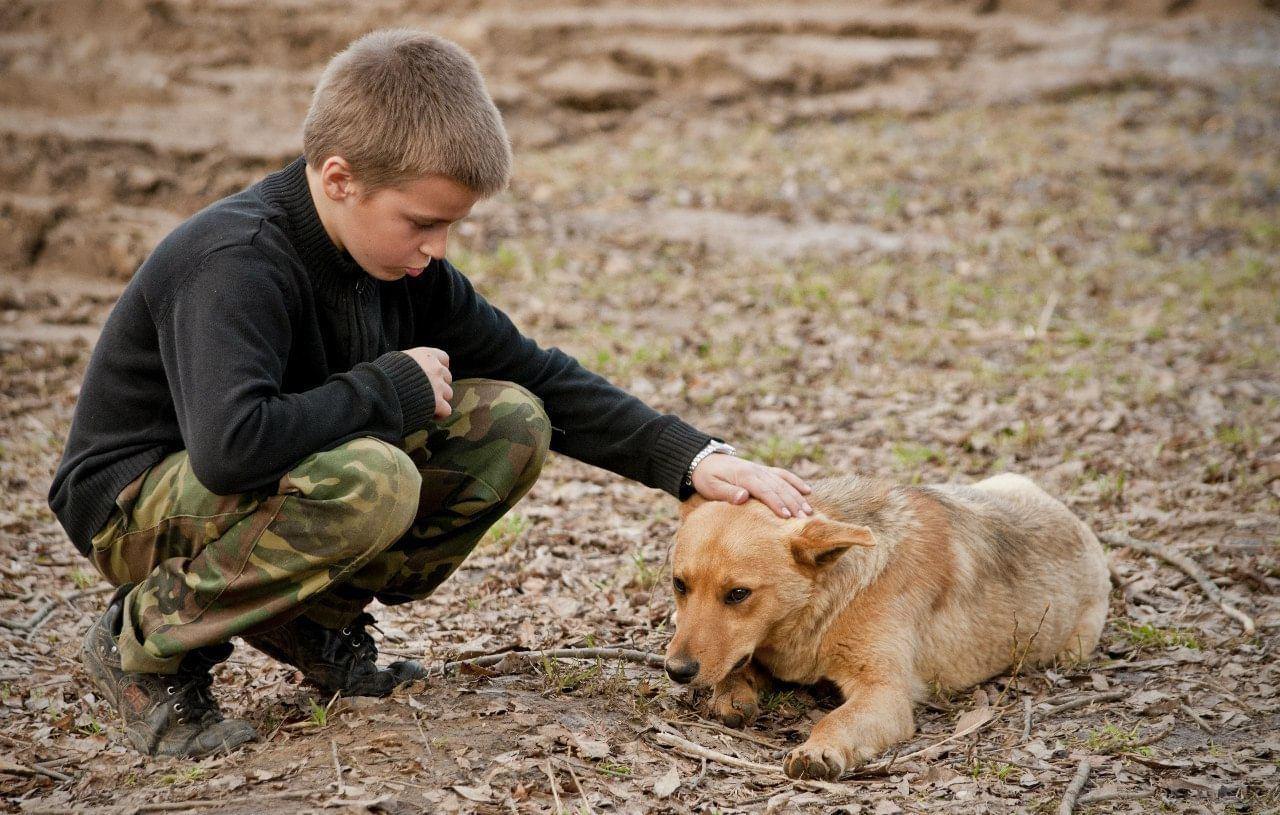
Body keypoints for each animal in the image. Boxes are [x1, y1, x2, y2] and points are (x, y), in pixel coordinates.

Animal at [665, 473, 1105, 777]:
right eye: (679, 585)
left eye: (738, 594)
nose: (676, 671)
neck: (828, 602)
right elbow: (737, 669)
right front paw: (732, 692)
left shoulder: (884, 694)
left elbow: (836, 718)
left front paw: (817, 749)